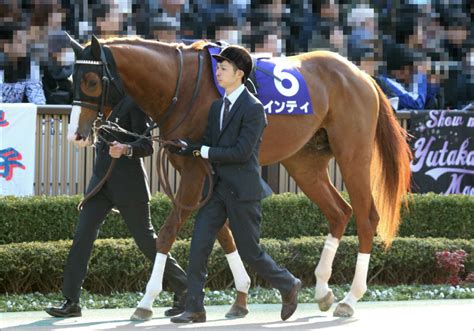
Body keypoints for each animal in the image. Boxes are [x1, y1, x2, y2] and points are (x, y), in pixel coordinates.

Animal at [66, 35, 412, 320]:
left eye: (93, 81)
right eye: (71, 78)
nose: (76, 135)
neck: (182, 85)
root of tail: (361, 76)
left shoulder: (195, 171)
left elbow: (168, 233)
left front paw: (147, 301)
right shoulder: (203, 173)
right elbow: (224, 233)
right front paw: (241, 294)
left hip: (353, 155)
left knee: (366, 218)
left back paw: (350, 299)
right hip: (304, 162)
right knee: (339, 212)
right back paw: (323, 290)